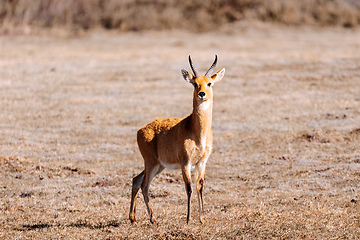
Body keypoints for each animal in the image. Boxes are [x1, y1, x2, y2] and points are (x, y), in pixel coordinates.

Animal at [129, 54, 225, 223]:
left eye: (209, 83)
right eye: (195, 83)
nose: (202, 94)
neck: (197, 132)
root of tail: (141, 129)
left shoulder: (202, 162)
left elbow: (200, 187)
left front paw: (202, 219)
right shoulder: (185, 163)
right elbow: (189, 188)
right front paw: (188, 219)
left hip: (159, 165)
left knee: (136, 180)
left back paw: (132, 218)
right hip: (151, 163)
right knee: (145, 185)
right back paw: (153, 219)